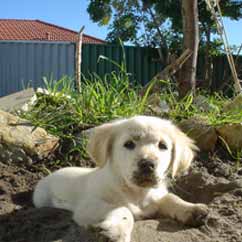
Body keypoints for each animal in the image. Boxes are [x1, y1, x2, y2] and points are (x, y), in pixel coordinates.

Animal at [33, 115, 209, 242]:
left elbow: (171, 198)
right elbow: (123, 209)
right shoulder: (87, 206)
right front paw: (116, 232)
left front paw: (192, 209)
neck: (137, 193)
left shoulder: (155, 199)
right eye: (129, 144)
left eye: (163, 146)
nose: (148, 164)